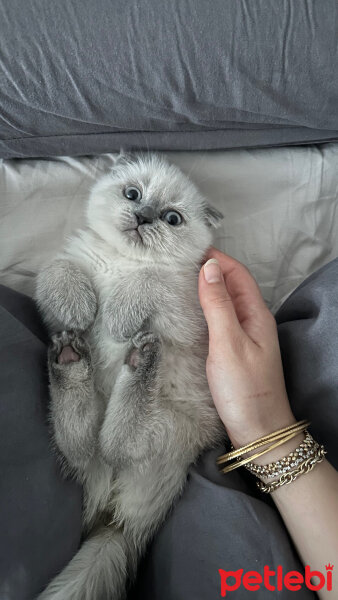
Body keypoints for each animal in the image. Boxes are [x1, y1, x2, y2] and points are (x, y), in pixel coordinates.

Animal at [35, 154, 224, 600]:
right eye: (133, 193)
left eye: (172, 218)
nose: (142, 216)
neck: (120, 262)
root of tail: (116, 522)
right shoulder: (70, 263)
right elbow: (59, 269)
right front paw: (81, 308)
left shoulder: (188, 312)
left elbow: (148, 280)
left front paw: (117, 315)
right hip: (96, 449)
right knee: (83, 444)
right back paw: (70, 358)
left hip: (169, 427)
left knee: (117, 442)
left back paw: (139, 359)